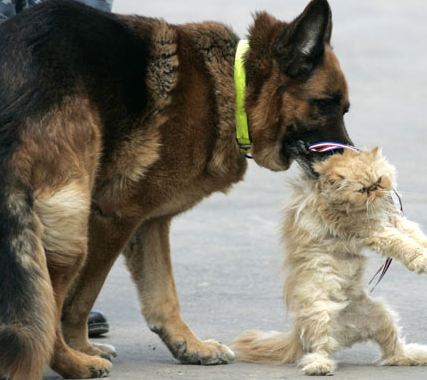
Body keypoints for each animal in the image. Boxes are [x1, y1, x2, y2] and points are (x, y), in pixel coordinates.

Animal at [0, 0, 352, 378]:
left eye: (344, 108)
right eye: (326, 103)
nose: (349, 160)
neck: (232, 87)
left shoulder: (148, 222)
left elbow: (163, 295)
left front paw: (189, 345)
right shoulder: (116, 217)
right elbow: (80, 300)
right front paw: (81, 349)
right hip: (71, 228)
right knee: (46, 306)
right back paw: (72, 362)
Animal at [232, 148, 427, 374]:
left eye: (378, 180)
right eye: (363, 190)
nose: (376, 190)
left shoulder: (395, 220)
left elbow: (416, 236)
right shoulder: (375, 231)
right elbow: (404, 244)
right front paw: (422, 260)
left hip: (381, 317)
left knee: (393, 351)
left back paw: (414, 356)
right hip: (320, 315)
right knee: (319, 349)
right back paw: (320, 366)